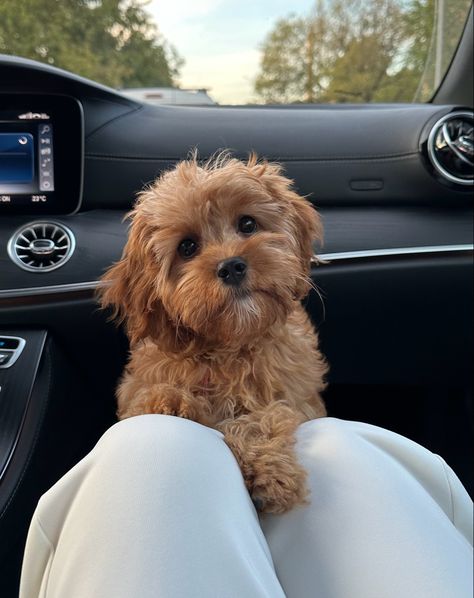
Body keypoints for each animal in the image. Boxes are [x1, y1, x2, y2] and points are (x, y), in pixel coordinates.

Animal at [99, 155, 330, 516]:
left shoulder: (295, 399)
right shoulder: (138, 385)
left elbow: (266, 417)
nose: (232, 266)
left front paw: (270, 471)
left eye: (247, 224)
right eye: (187, 247)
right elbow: (145, 399)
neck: (229, 346)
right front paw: (169, 402)